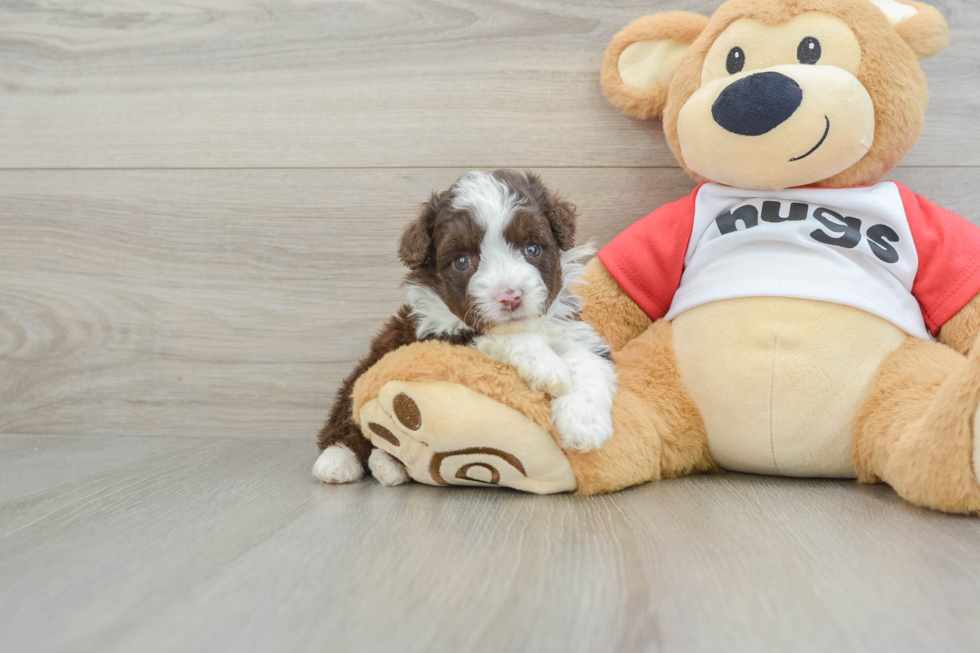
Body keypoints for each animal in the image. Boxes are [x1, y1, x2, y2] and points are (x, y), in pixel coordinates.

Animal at [314, 171, 616, 486]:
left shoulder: (572, 329)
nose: (510, 296)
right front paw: (547, 366)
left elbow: (587, 360)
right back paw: (337, 461)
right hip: (367, 368)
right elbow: (495, 336)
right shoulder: (440, 335)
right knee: (348, 420)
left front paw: (583, 423)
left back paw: (388, 465)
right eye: (462, 261)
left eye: (531, 248)